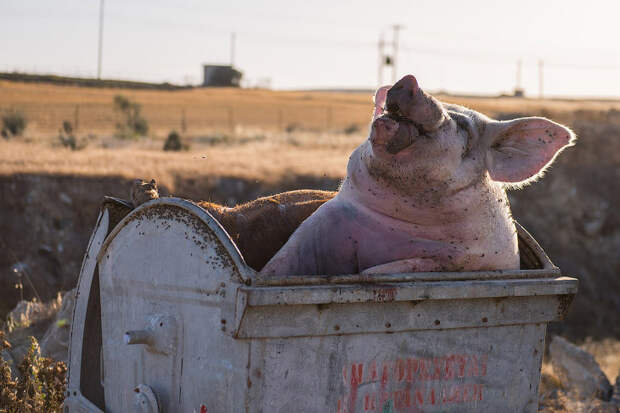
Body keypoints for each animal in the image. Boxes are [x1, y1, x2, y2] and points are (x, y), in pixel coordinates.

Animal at [260, 74, 572, 276]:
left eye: (463, 126)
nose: (410, 79)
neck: (394, 225)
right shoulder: (321, 224)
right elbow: (277, 266)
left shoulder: (468, 260)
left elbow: (399, 267)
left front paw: (369, 273)